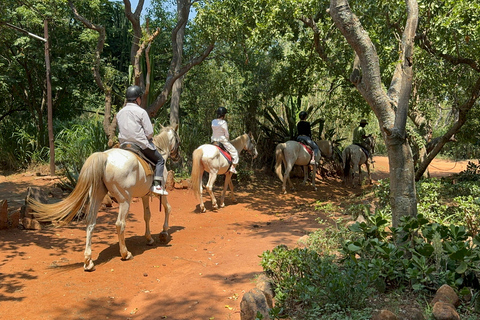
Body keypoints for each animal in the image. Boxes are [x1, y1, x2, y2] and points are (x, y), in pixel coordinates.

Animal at [28, 124, 182, 270]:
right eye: (178, 140)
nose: (177, 157)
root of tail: (105, 157)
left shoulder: (144, 195)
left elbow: (147, 215)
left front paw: (149, 238)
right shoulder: (160, 192)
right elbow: (168, 208)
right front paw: (164, 233)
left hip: (97, 196)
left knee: (90, 222)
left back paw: (88, 261)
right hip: (125, 200)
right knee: (120, 224)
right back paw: (125, 253)